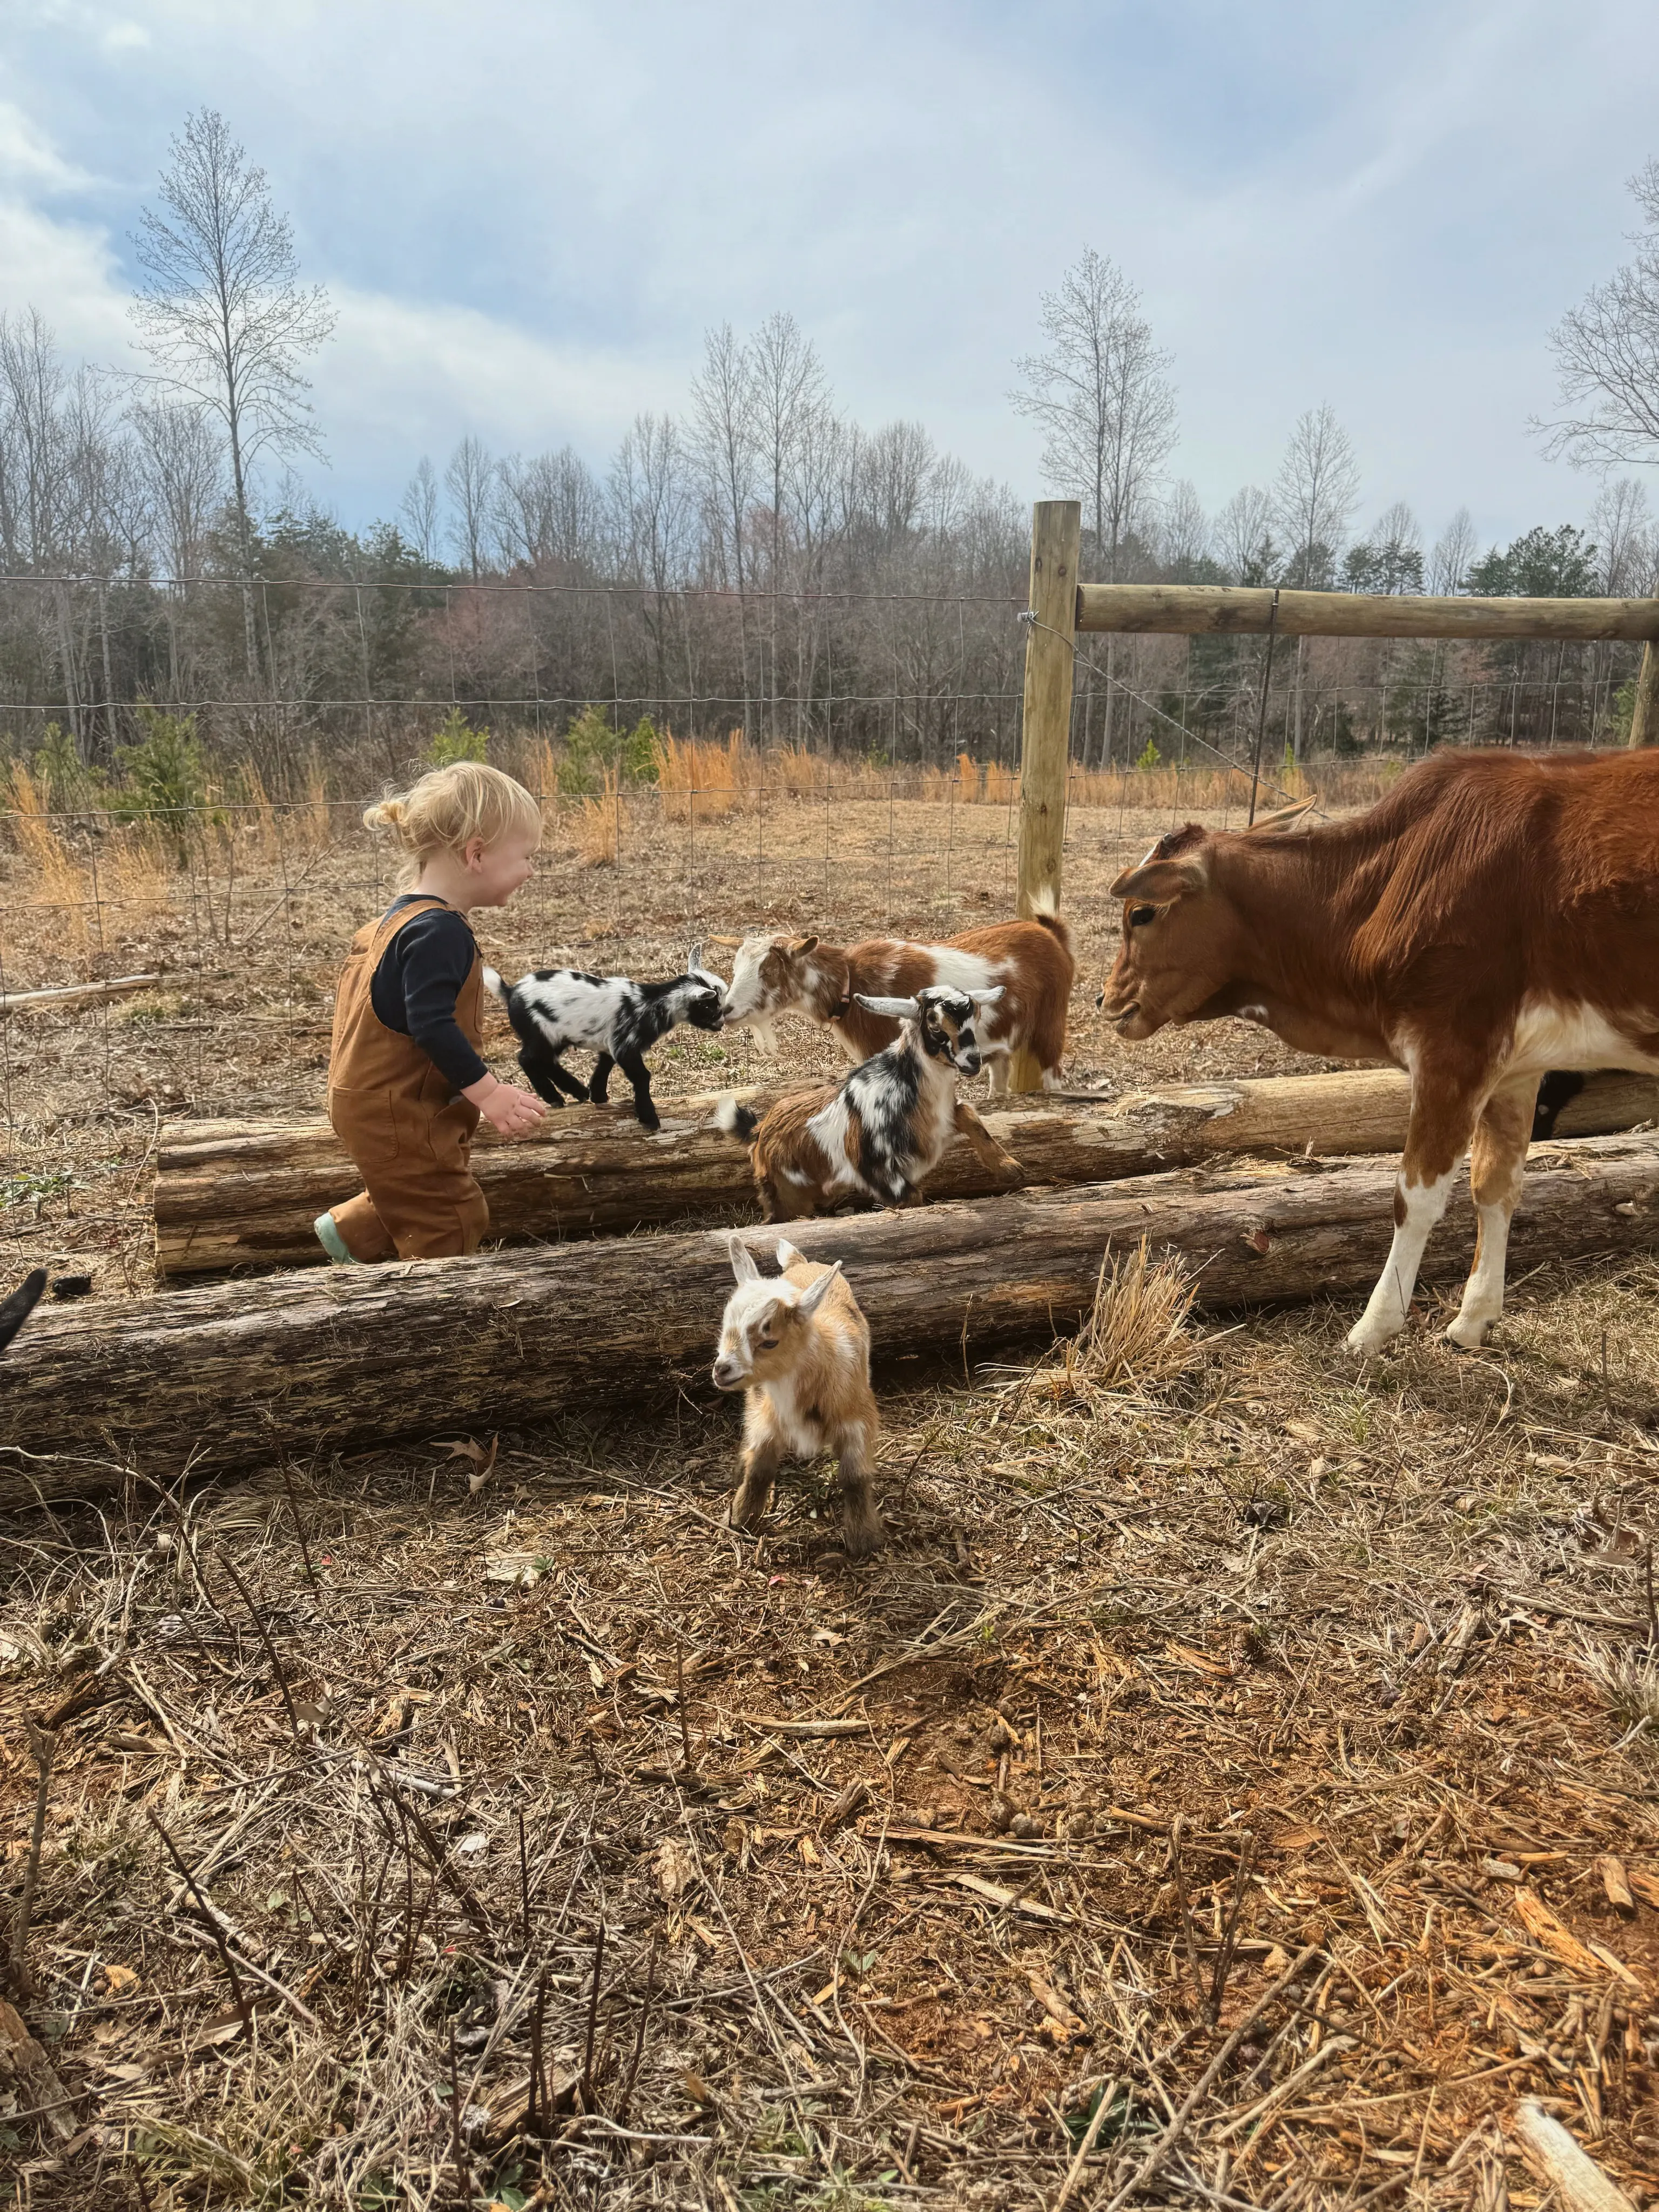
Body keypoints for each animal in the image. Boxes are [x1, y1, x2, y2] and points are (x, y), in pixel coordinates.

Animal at [485, 959, 726, 1132]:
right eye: (712, 1007)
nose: (722, 1024)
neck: (651, 1003)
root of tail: (511, 991)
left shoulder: (611, 1043)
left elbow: (605, 1065)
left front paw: (598, 1096)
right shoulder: (626, 1044)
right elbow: (642, 1076)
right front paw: (648, 1118)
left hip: (555, 1037)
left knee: (545, 1061)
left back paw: (578, 1091)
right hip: (540, 1032)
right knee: (527, 1058)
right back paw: (555, 1097)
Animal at [713, 1235, 883, 1558]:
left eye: (770, 1342)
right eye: (725, 1327)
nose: (721, 1370)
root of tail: (801, 1263)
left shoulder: (857, 1420)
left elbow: (855, 1477)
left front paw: (863, 1539)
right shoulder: (767, 1417)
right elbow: (759, 1470)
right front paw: (740, 1518)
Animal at [715, 984, 1021, 1221]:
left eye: (977, 1017)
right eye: (935, 1026)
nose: (974, 1061)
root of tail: (760, 1130)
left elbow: (968, 1113)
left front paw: (1009, 1168)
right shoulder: (879, 1171)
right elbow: (913, 1198)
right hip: (787, 1194)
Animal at [717, 893, 1074, 1094]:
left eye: (769, 972)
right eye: (736, 967)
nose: (727, 1010)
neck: (851, 984)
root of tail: (1050, 933)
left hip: (1051, 1025)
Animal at [1096, 748, 1659, 1353]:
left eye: (1141, 913)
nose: (1106, 997)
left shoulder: (1452, 1047)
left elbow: (1415, 1197)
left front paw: (1374, 1326)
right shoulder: (1515, 1067)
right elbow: (1495, 1185)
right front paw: (1473, 1320)